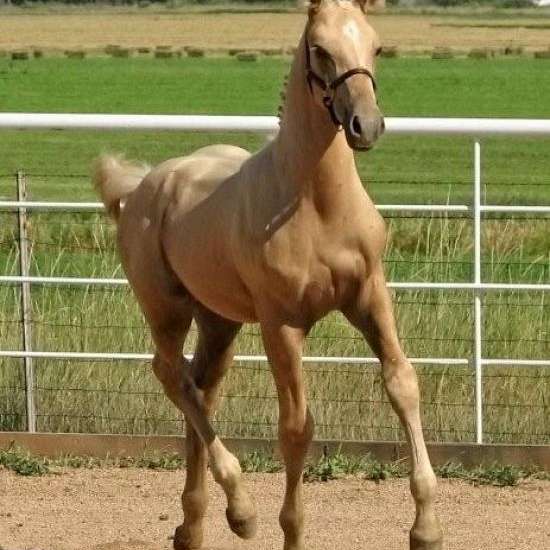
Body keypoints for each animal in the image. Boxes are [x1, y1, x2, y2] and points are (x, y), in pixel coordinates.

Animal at [93, 1, 443, 549]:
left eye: (376, 44)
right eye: (319, 48)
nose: (366, 125)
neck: (316, 204)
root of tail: (142, 187)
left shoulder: (369, 294)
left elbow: (402, 382)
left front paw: (426, 527)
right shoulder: (282, 324)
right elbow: (296, 427)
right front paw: (290, 528)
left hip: (219, 321)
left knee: (201, 387)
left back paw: (194, 524)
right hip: (165, 309)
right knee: (173, 377)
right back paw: (241, 509)